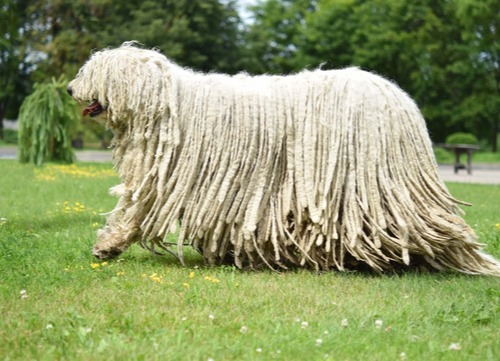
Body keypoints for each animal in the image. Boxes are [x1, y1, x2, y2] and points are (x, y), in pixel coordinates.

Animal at [68, 42, 500, 274]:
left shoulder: (167, 177)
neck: (169, 105)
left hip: (372, 184)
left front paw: (108, 245)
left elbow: (136, 209)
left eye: (93, 72)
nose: (71, 88)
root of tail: (400, 101)